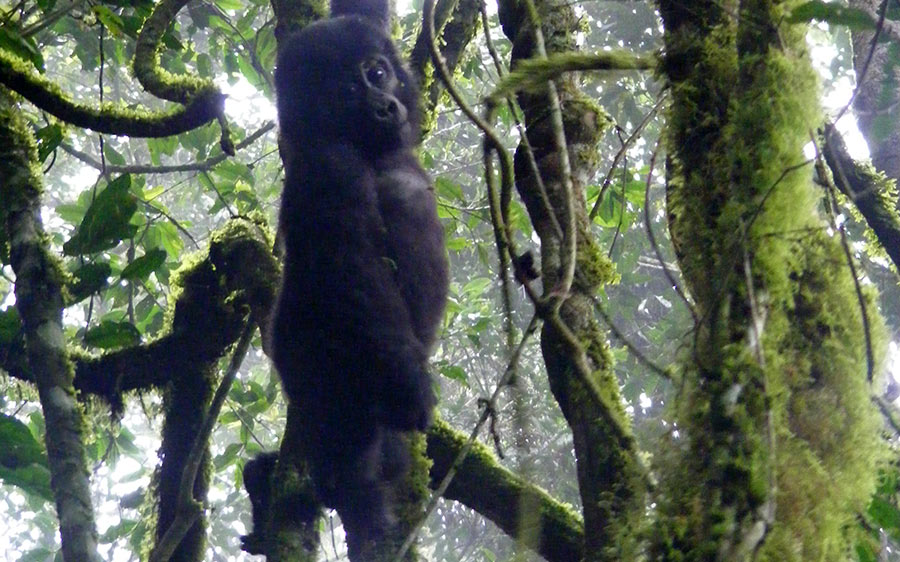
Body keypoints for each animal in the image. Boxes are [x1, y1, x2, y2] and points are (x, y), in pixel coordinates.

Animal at [268, 0, 450, 552]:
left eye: (378, 72)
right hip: (320, 365)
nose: (385, 106)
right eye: (348, 93)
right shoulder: (330, 165)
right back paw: (358, 500)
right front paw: (415, 391)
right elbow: (353, 269)